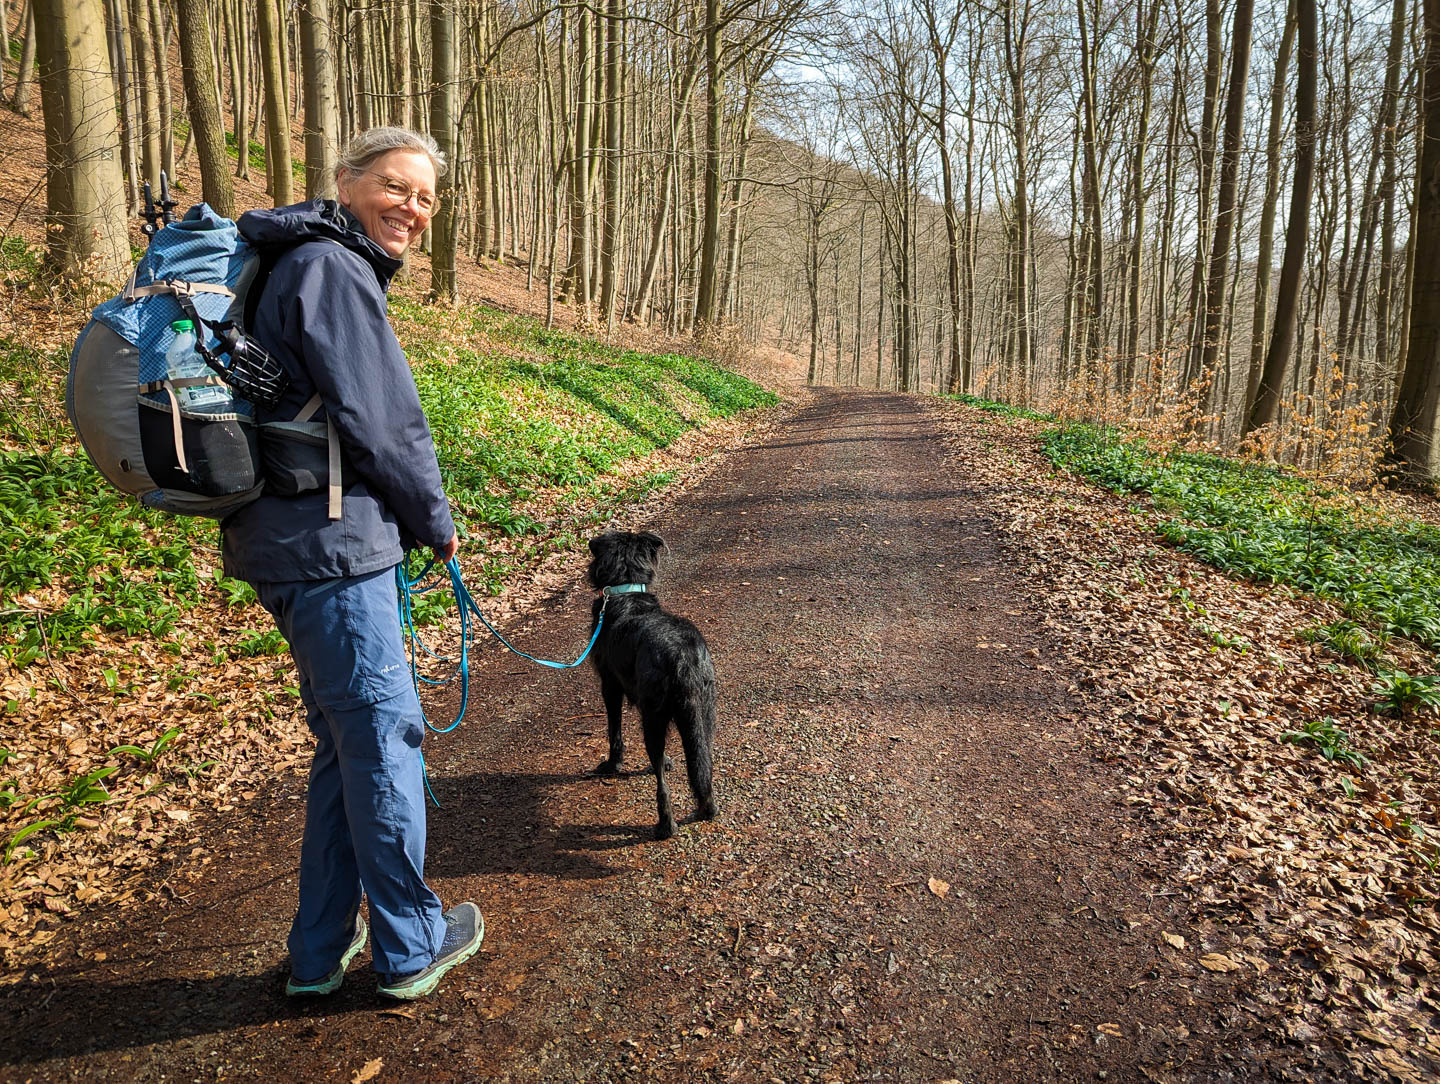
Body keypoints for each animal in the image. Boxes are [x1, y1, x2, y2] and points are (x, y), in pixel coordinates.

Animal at [587, 529, 717, 834]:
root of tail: (683, 656)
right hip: (702, 715)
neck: (625, 589)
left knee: (662, 785)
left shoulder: (610, 686)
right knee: (702, 764)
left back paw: (665, 826)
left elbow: (615, 732)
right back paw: (706, 808)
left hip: (655, 718)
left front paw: (613, 764)